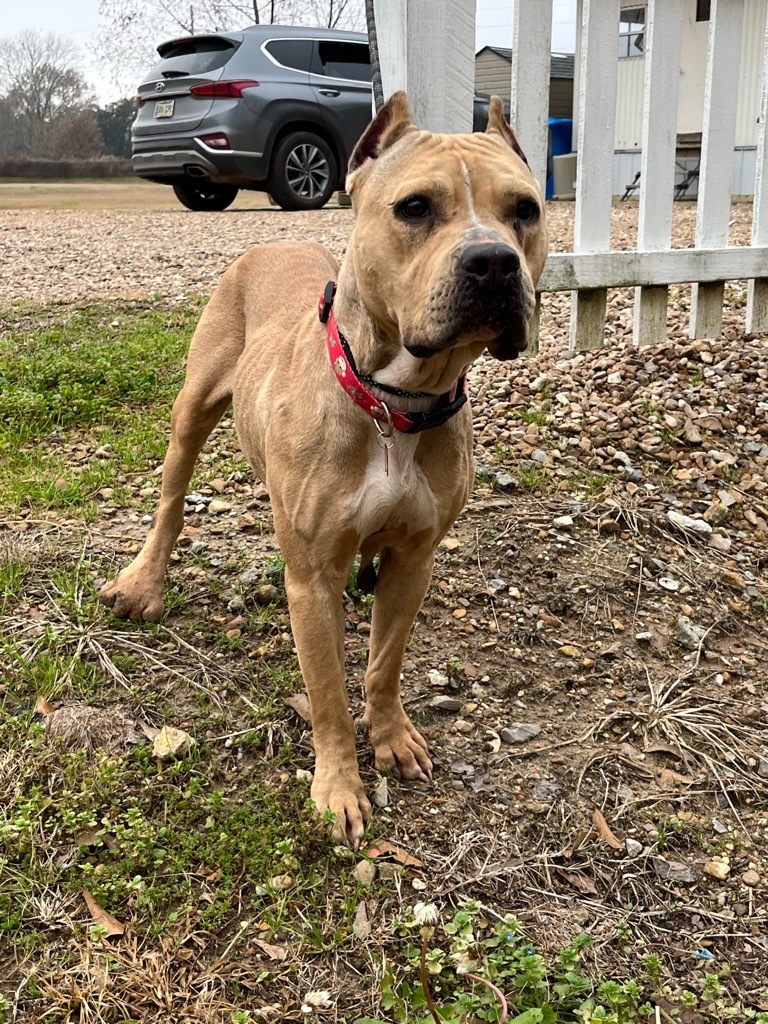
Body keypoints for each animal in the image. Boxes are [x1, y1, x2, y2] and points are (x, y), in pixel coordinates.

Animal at [100, 94, 548, 847]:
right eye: (415, 208)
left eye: (527, 209)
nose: (493, 262)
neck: (396, 402)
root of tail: (274, 242)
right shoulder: (311, 580)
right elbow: (329, 694)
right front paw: (339, 785)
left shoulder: (413, 560)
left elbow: (384, 663)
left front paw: (391, 737)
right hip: (192, 410)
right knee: (171, 501)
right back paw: (143, 582)